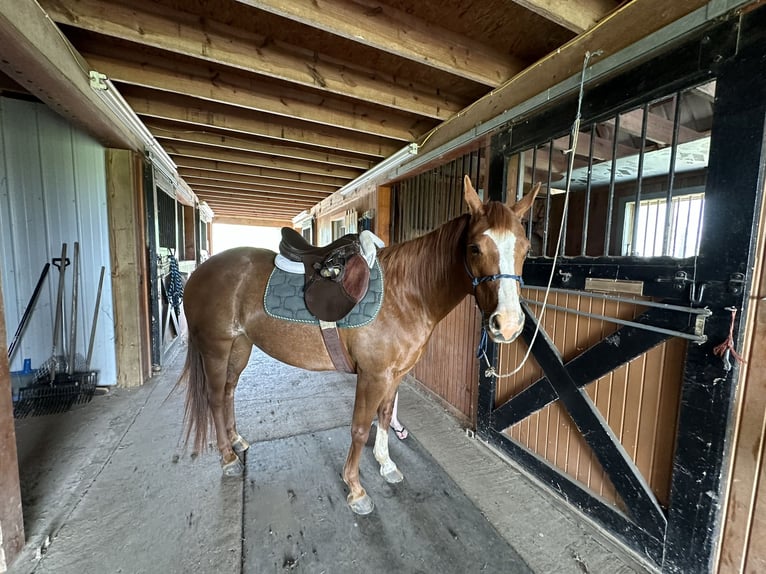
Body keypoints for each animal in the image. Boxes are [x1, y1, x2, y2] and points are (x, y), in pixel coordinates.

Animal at [179, 177, 540, 516]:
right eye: (475, 247)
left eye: (525, 248)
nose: (508, 324)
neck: (406, 294)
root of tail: (200, 272)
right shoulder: (372, 376)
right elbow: (360, 428)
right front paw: (355, 489)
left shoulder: (395, 374)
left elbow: (384, 416)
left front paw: (386, 464)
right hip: (216, 348)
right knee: (215, 398)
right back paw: (227, 458)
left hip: (240, 347)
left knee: (228, 392)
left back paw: (236, 441)